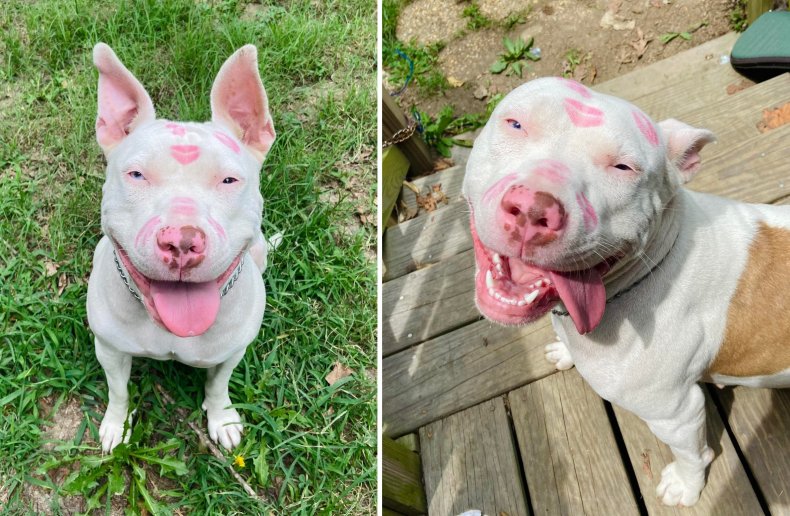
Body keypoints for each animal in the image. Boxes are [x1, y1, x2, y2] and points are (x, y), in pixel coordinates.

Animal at [87, 44, 276, 454]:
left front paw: (222, 419)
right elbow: (118, 391)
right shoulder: (108, 350)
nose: (183, 241)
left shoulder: (232, 353)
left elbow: (218, 385)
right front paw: (116, 425)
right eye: (136, 175)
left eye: (229, 179)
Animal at [464, 78, 790, 506]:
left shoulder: (677, 412)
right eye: (515, 124)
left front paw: (686, 487)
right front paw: (563, 352)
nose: (534, 208)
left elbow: (694, 454)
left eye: (623, 167)